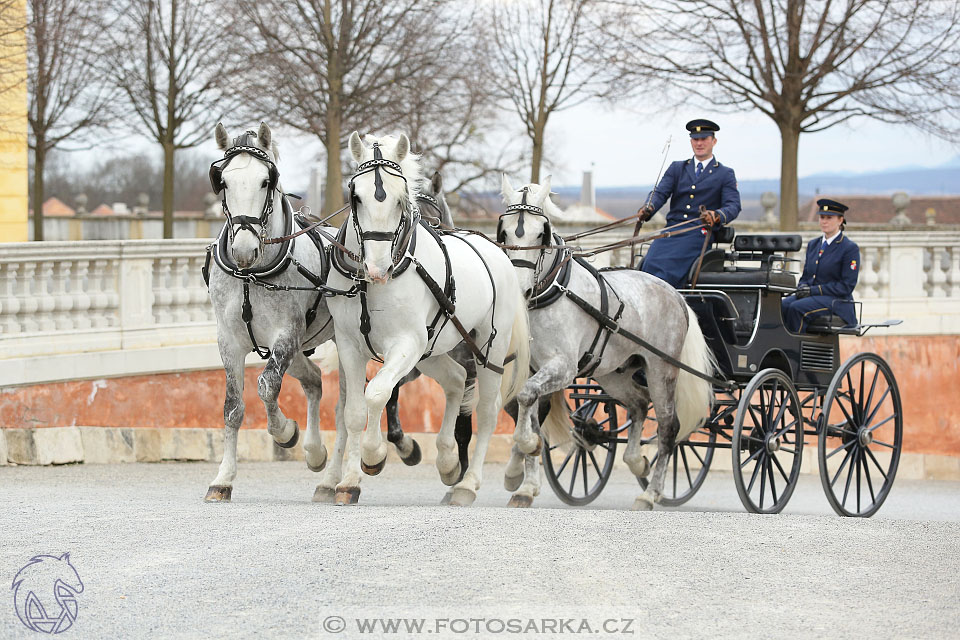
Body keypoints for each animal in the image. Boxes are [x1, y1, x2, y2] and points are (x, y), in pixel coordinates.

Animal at [324, 131, 532, 504]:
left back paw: (467, 483)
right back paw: (448, 462)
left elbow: (377, 392)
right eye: (356, 197)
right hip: (433, 349)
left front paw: (373, 455)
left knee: (487, 410)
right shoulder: (350, 345)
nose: (378, 268)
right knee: (455, 381)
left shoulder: (406, 343)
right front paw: (349, 481)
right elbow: (354, 411)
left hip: (487, 348)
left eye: (399, 200)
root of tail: (498, 253)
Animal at [498, 175, 716, 510]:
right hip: (614, 373)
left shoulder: (564, 368)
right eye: (506, 231)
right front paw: (523, 482)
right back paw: (637, 461)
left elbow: (525, 398)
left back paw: (650, 493)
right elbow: (531, 410)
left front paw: (525, 450)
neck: (553, 290)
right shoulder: (533, 368)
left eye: (541, 233)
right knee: (638, 405)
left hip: (661, 369)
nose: (522, 291)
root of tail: (676, 294)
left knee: (669, 426)